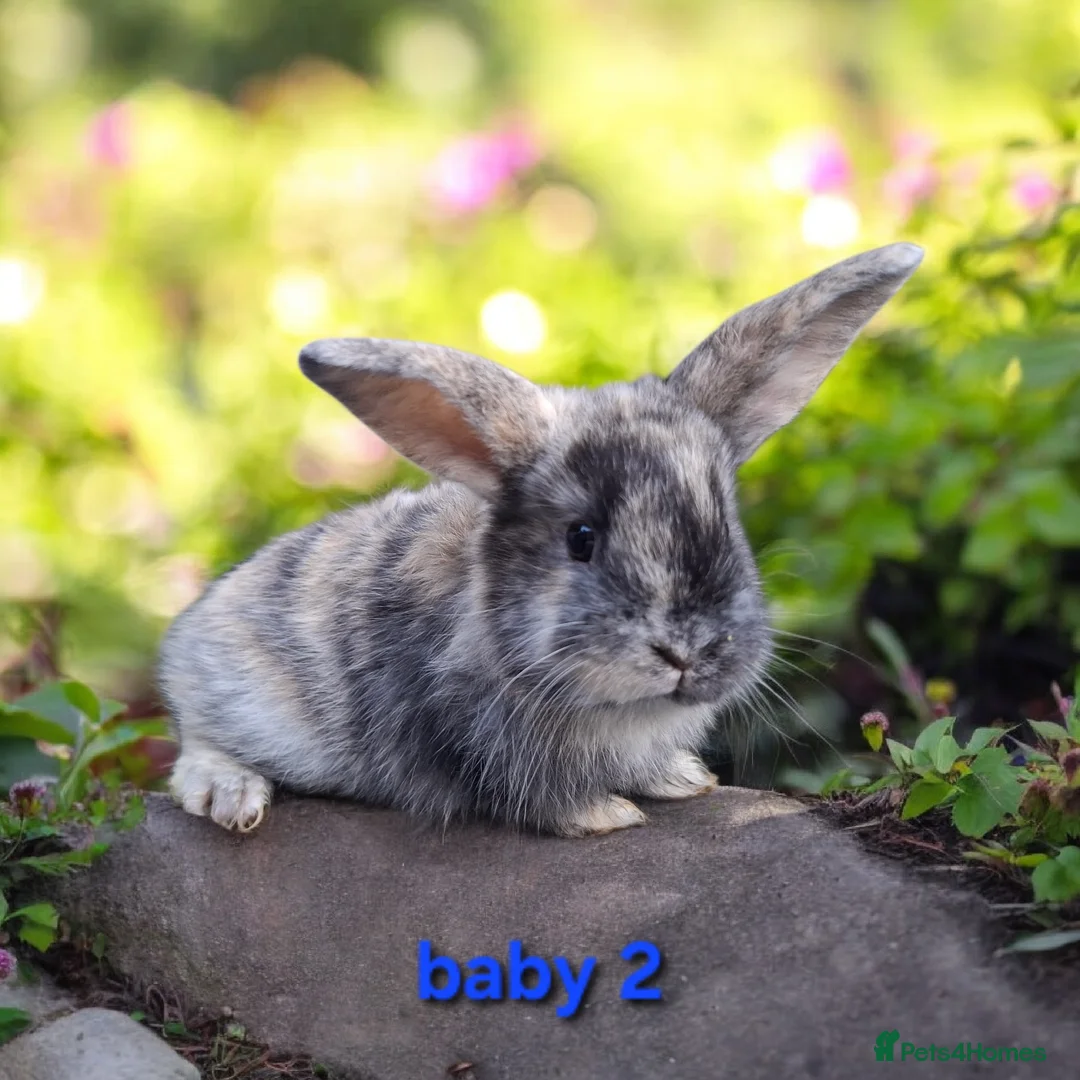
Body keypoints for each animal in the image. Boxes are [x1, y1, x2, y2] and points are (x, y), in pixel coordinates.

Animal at [160, 242, 923, 837]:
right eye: (580, 538)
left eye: (726, 522)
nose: (687, 652)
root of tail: (190, 632)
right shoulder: (476, 744)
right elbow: (532, 799)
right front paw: (606, 816)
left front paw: (683, 780)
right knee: (196, 746)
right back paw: (232, 797)